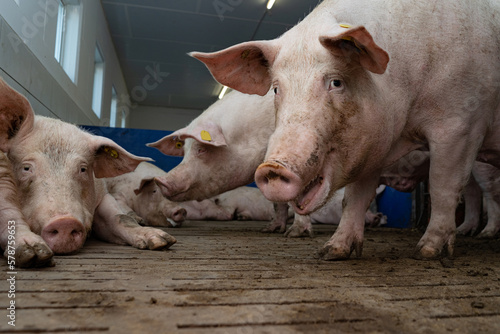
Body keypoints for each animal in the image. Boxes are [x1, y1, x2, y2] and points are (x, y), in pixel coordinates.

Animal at [0, 79, 176, 266]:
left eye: (83, 169)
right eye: (26, 168)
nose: (64, 222)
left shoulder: (103, 195)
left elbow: (119, 218)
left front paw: (162, 242)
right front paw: (34, 255)